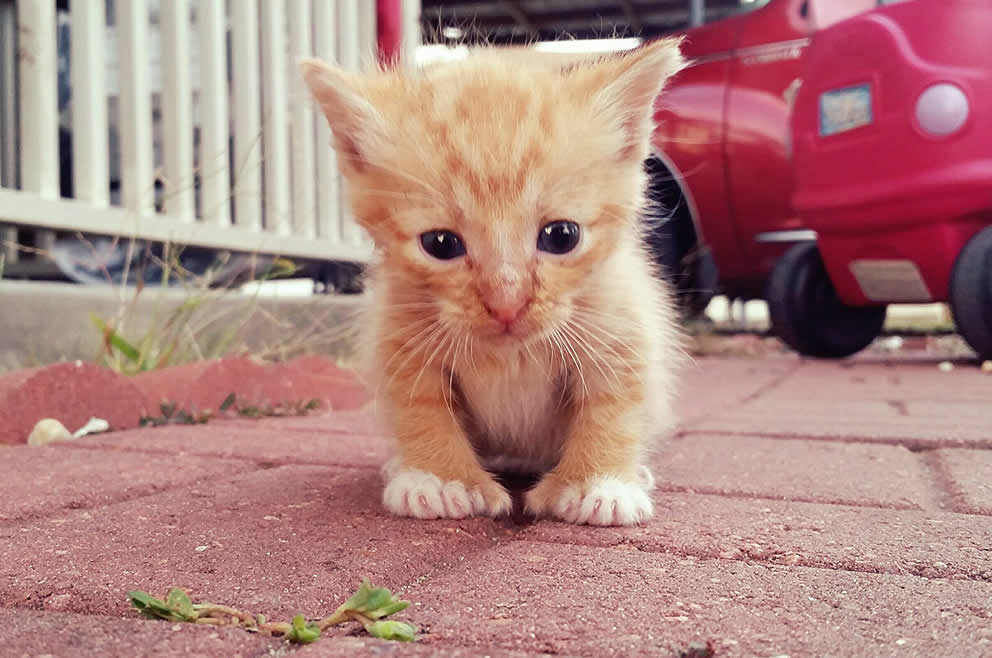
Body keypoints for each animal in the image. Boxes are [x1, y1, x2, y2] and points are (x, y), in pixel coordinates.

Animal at [302, 38, 684, 524]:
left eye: (562, 236)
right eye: (440, 243)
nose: (506, 304)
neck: (508, 355)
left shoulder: (620, 327)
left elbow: (613, 408)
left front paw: (597, 482)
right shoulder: (400, 334)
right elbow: (420, 408)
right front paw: (441, 478)